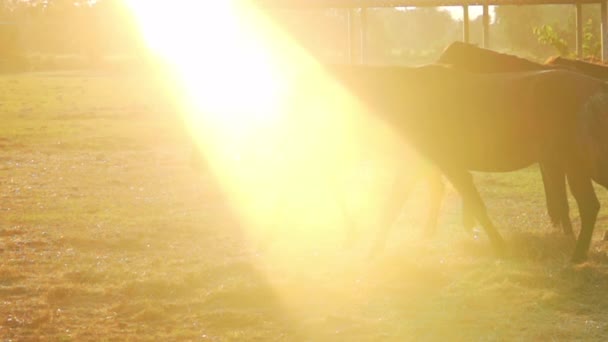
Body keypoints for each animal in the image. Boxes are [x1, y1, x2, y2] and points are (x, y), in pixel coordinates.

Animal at [326, 63, 608, 262]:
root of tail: (596, 87)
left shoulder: (447, 164)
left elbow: (472, 203)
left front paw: (499, 246)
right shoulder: (422, 164)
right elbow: (396, 203)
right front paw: (375, 248)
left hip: (578, 163)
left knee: (589, 205)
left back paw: (577, 255)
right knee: (591, 205)